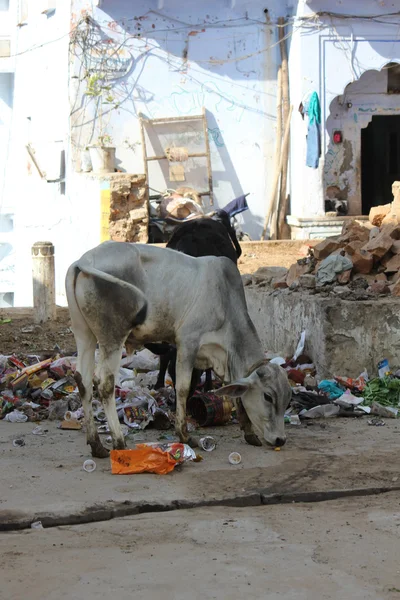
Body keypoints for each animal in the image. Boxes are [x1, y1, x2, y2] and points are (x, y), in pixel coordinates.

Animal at [65, 241, 290, 458]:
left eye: (287, 400)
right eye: (268, 397)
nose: (280, 440)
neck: (225, 300)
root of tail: (85, 260)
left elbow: (234, 393)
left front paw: (249, 433)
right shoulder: (187, 342)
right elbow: (183, 388)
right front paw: (184, 434)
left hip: (84, 333)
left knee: (83, 380)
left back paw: (97, 445)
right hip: (112, 337)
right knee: (104, 383)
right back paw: (119, 442)